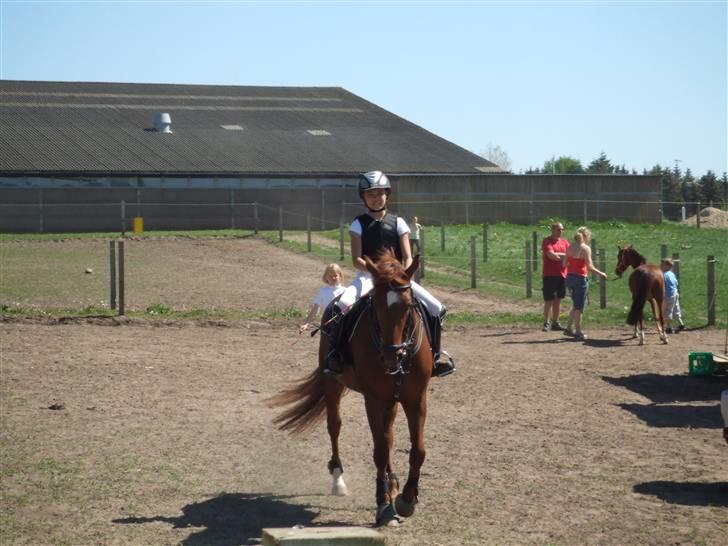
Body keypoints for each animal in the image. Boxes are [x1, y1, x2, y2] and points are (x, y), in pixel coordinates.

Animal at [272, 249, 432, 524]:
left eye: (408, 305)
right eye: (375, 305)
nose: (391, 355)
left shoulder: (416, 398)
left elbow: (417, 450)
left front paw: (407, 499)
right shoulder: (373, 398)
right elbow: (379, 450)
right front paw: (383, 504)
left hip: (391, 400)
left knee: (388, 436)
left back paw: (393, 484)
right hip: (333, 384)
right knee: (335, 426)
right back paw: (339, 479)